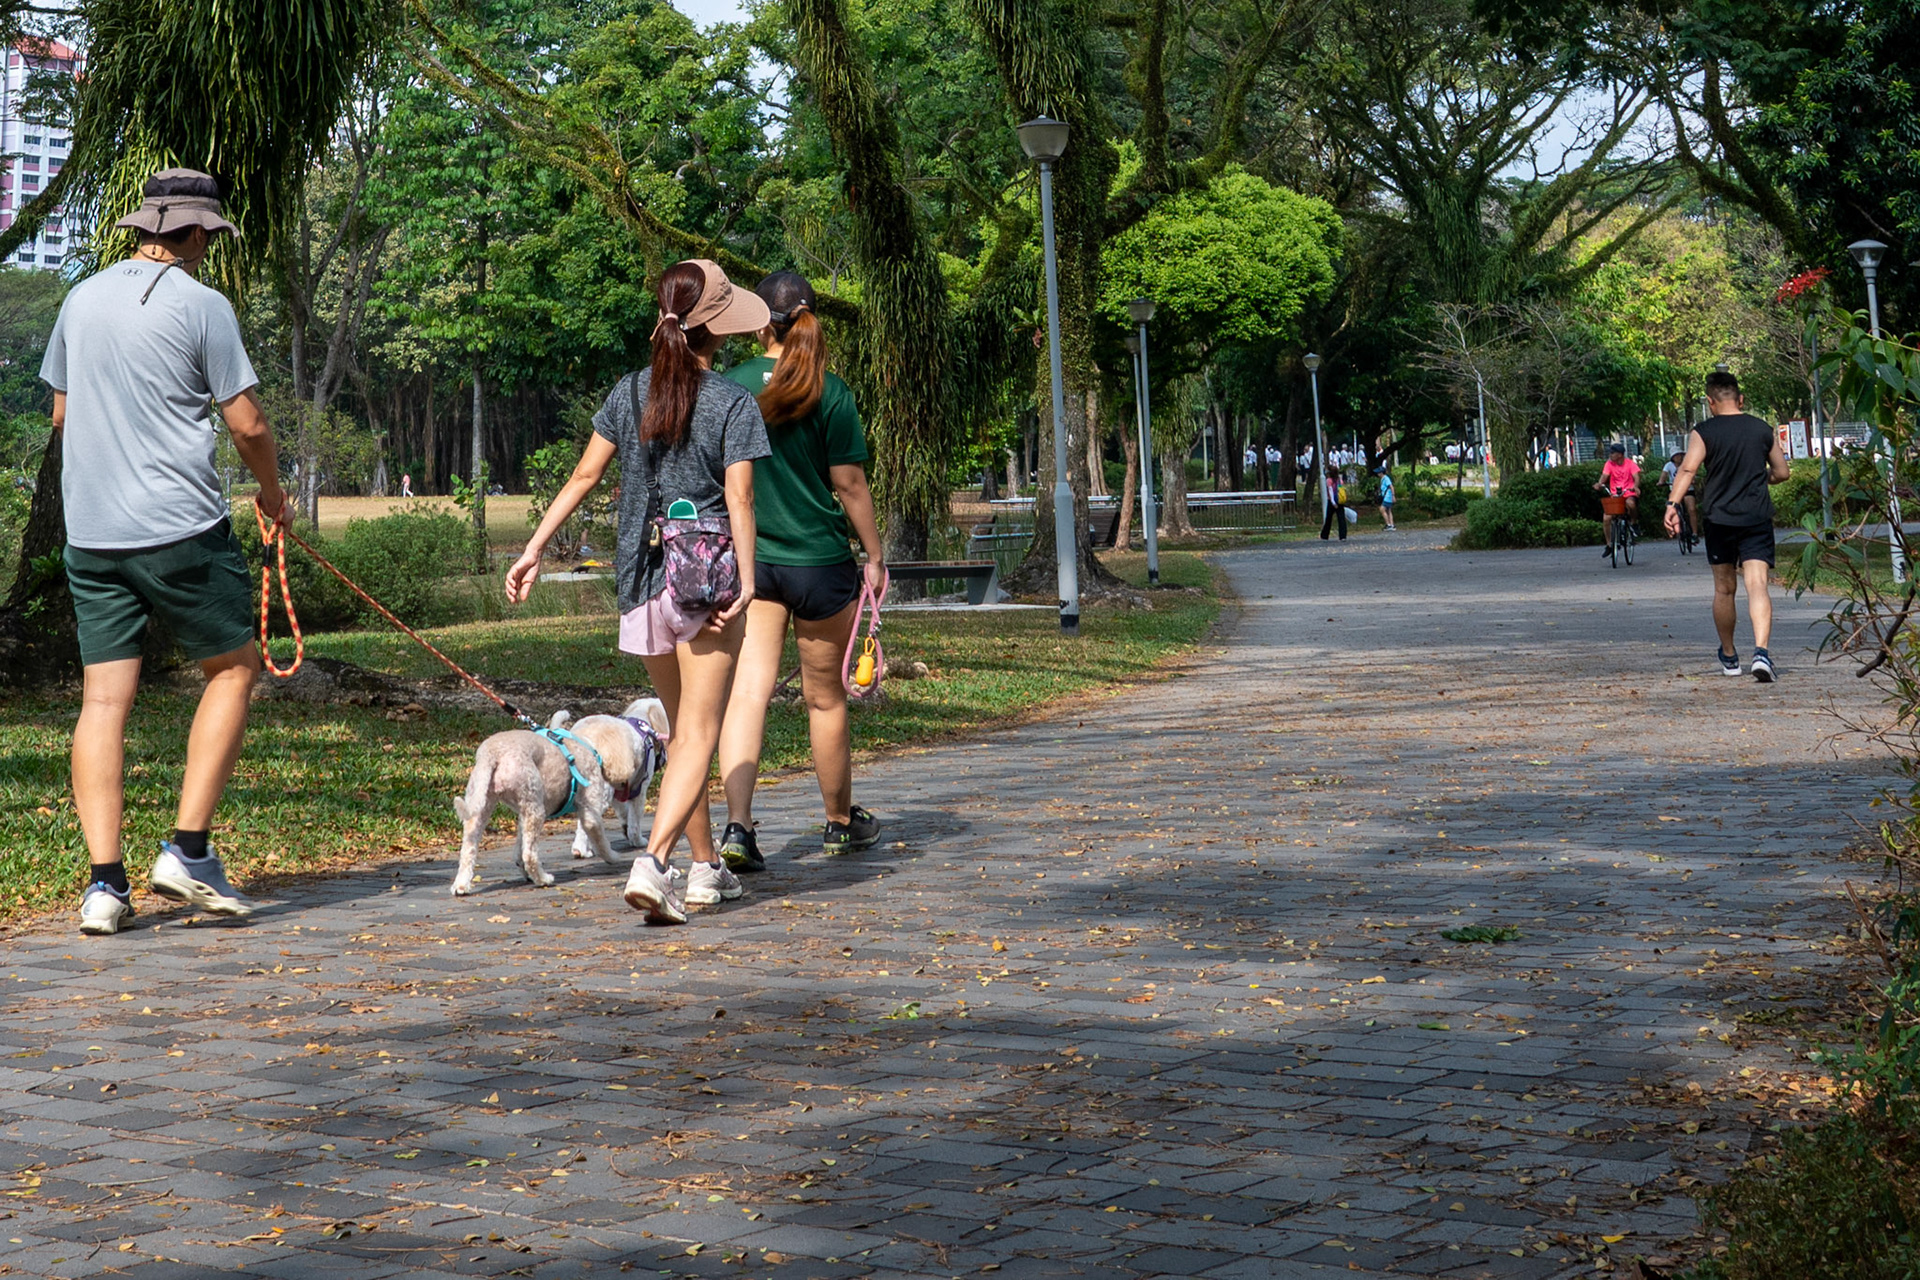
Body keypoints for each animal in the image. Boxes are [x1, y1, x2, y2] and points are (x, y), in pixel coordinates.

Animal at [449, 697, 670, 896]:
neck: (590, 745)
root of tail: (492, 754)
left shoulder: (525, 813)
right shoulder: (594, 806)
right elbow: (602, 834)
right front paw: (614, 856)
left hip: (485, 804)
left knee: (470, 849)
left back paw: (462, 885)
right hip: (535, 807)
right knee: (530, 853)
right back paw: (543, 878)